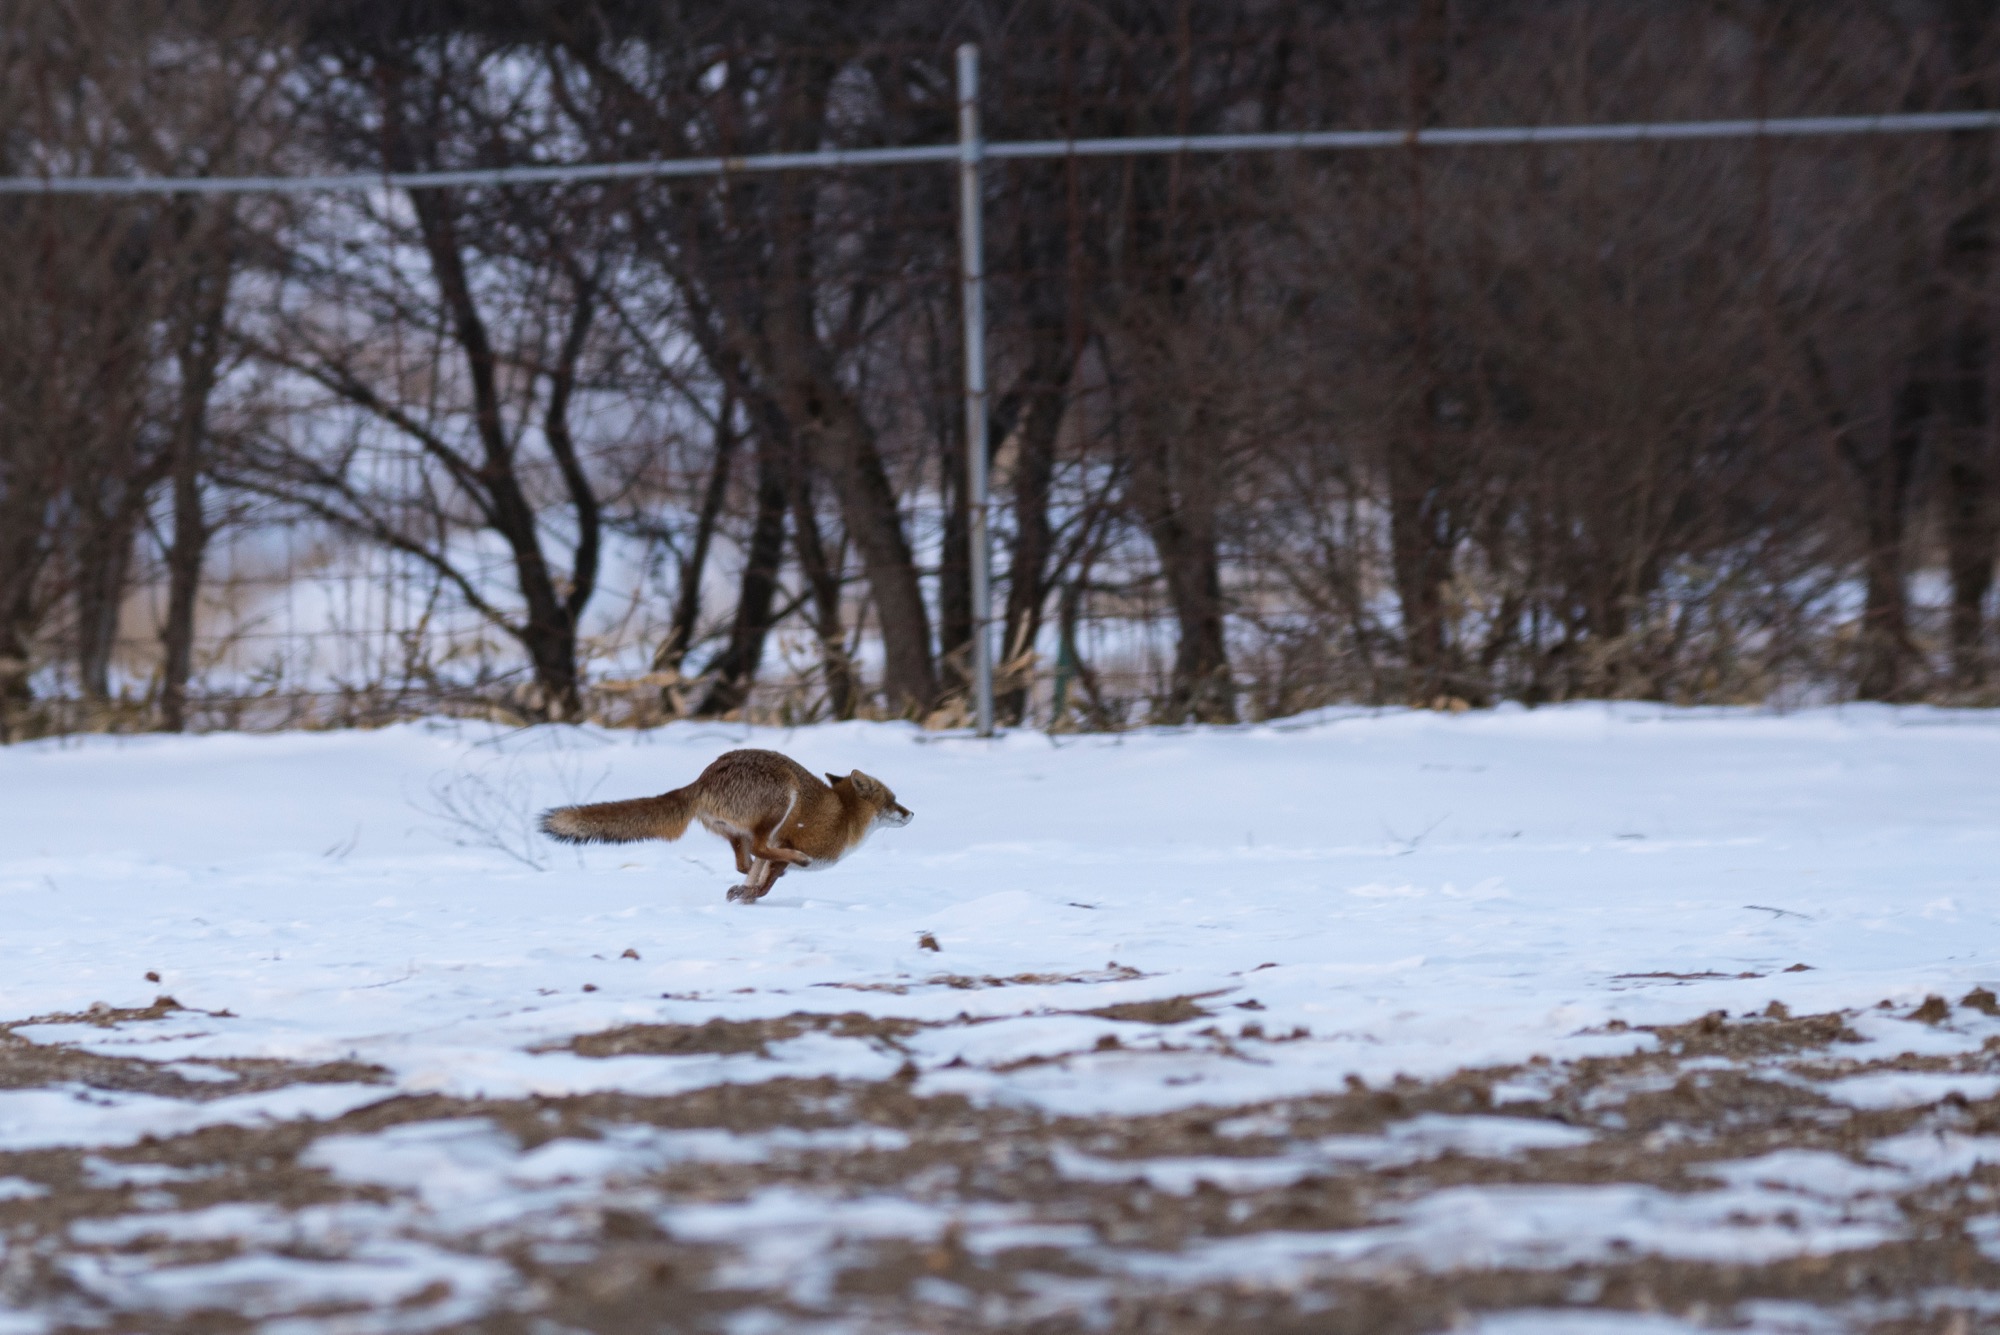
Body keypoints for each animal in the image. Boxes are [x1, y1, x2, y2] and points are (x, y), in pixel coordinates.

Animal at [532, 747, 908, 903]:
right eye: (892, 800)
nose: (911, 814)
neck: (844, 815)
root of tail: (703, 779)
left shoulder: (773, 851)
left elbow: (755, 875)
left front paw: (744, 896)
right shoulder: (790, 840)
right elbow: (768, 874)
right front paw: (754, 894)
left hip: (737, 832)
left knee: (744, 860)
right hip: (780, 802)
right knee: (759, 850)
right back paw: (792, 864)